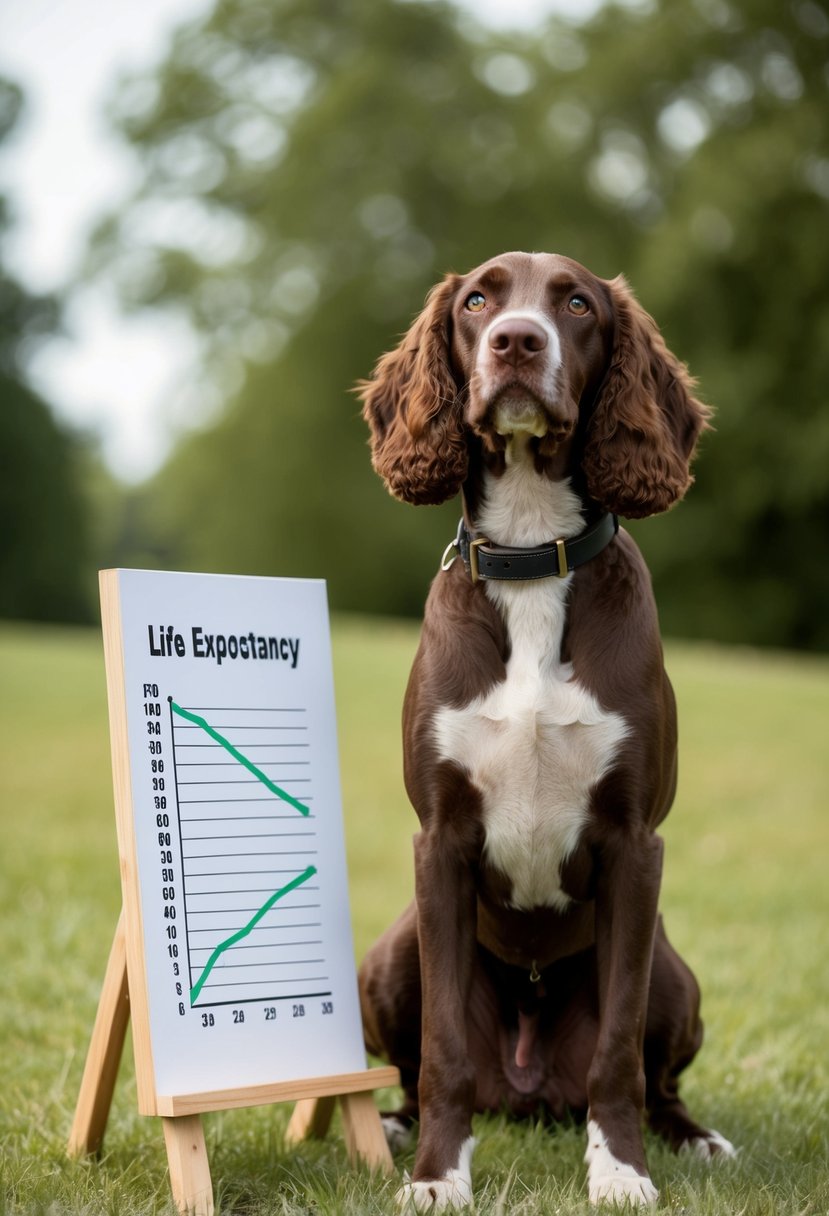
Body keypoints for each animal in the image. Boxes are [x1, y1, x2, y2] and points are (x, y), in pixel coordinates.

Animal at [354, 249, 729, 1206]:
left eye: (577, 304)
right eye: (477, 299)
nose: (515, 342)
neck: (530, 555)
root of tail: (524, 1090)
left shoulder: (635, 846)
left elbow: (617, 1054)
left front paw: (621, 1173)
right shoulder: (440, 842)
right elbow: (441, 1049)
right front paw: (438, 1178)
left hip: (675, 973)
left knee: (658, 1076)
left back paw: (691, 1138)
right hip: (390, 953)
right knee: (410, 1067)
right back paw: (395, 1123)